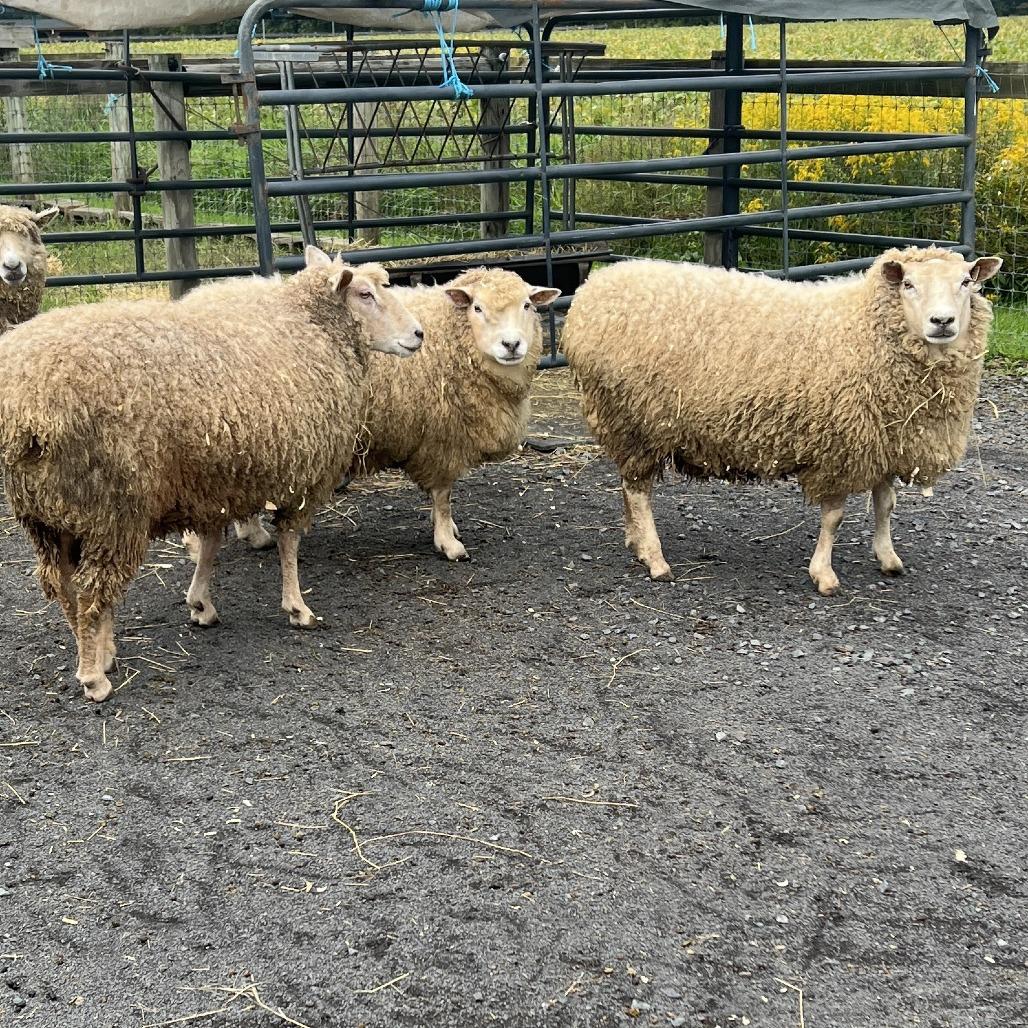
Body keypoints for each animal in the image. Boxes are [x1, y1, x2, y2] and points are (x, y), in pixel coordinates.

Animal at [0, 246, 423, 702]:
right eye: (365, 294)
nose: (419, 334)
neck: (310, 328)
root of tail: (25, 407)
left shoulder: (213, 479)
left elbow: (211, 543)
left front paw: (200, 603)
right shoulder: (300, 475)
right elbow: (288, 543)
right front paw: (297, 607)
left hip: (47, 513)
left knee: (64, 587)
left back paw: (97, 649)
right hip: (110, 507)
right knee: (92, 590)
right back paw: (94, 676)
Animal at [210, 267, 560, 562]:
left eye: (527, 305)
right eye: (477, 308)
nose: (511, 344)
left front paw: (446, 528)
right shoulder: (441, 438)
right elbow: (443, 495)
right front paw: (448, 542)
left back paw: (252, 533)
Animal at [560, 246, 1002, 594]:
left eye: (966, 282)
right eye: (908, 284)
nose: (942, 322)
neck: (863, 326)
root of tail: (592, 290)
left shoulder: (884, 440)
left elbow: (885, 504)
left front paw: (888, 557)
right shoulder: (840, 445)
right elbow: (835, 517)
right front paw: (824, 575)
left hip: (628, 423)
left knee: (628, 485)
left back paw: (634, 543)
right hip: (637, 419)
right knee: (638, 491)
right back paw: (655, 559)